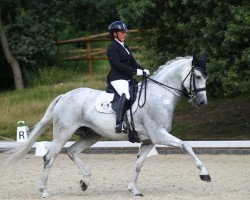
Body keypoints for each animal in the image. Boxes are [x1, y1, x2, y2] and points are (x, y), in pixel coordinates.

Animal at [6, 54, 211, 198]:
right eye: (197, 76)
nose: (202, 102)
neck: (159, 95)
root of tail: (64, 95)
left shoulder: (149, 141)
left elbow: (138, 165)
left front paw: (133, 189)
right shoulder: (159, 135)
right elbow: (186, 145)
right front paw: (205, 175)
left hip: (91, 135)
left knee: (71, 151)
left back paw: (85, 182)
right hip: (63, 133)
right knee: (49, 157)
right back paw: (44, 191)